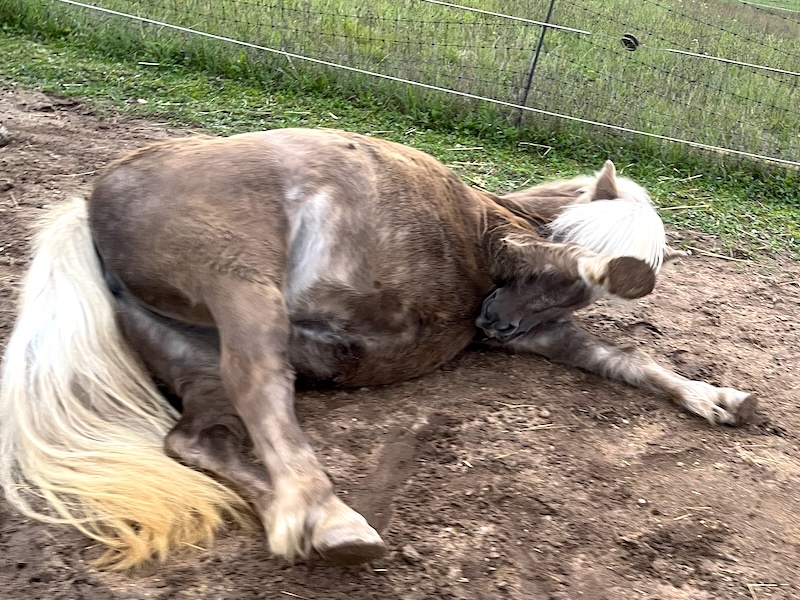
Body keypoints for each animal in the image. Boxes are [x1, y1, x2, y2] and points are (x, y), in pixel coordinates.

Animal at [0, 128, 756, 571]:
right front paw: (618, 269)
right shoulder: (507, 247)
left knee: (199, 439)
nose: (495, 325)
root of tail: (88, 206)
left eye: (569, 302)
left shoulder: (544, 332)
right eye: (552, 282)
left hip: (195, 352)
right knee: (260, 384)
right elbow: (580, 256)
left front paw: (718, 399)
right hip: (240, 281)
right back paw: (329, 517)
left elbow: (630, 363)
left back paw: (304, 519)